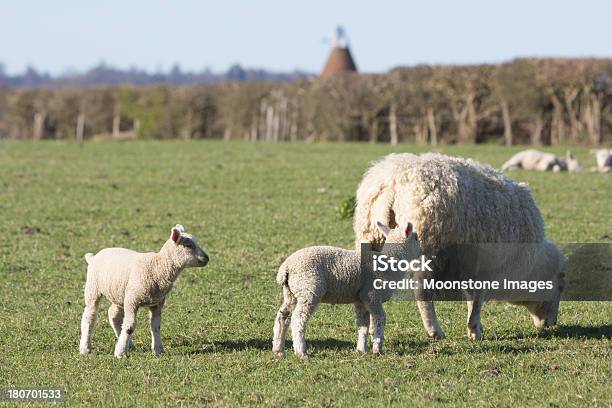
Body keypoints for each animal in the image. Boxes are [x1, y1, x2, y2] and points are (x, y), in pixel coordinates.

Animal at [79, 223, 209, 356]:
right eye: (188, 245)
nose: (207, 258)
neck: (158, 267)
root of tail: (93, 257)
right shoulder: (132, 300)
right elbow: (129, 327)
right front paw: (120, 353)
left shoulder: (157, 302)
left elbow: (155, 326)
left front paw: (158, 350)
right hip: (93, 288)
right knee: (89, 317)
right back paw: (85, 348)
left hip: (119, 293)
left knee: (114, 315)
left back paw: (128, 344)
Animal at [274, 220, 424, 356]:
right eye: (416, 238)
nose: (423, 250)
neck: (390, 262)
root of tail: (286, 268)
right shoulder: (372, 296)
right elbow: (380, 320)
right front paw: (378, 349)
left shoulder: (361, 300)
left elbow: (363, 326)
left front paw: (361, 349)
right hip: (309, 288)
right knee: (298, 319)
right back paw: (301, 352)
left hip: (291, 293)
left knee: (283, 317)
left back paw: (278, 349)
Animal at [354, 151, 564, 340]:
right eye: (559, 286)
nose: (553, 323)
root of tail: (392, 181)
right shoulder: (485, 266)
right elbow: (477, 299)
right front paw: (474, 330)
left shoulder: (470, 266)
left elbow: (471, 297)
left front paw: (475, 327)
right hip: (428, 248)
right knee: (422, 292)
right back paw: (435, 331)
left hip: (370, 237)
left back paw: (371, 328)